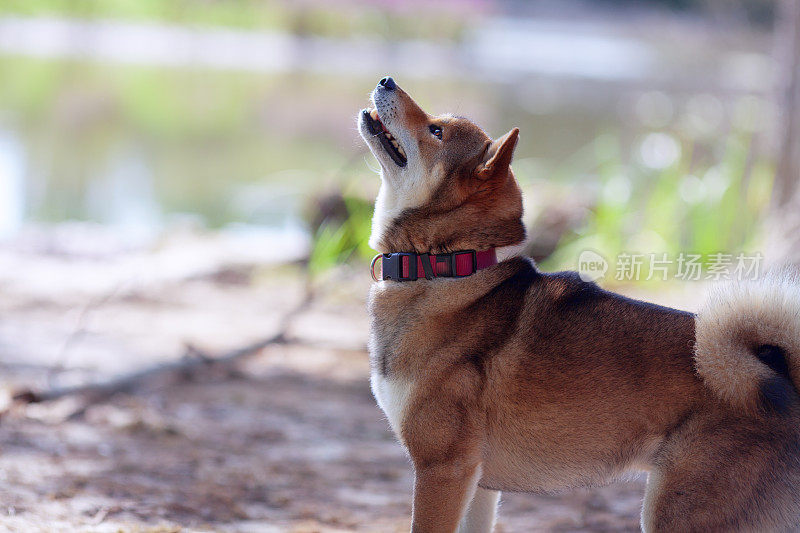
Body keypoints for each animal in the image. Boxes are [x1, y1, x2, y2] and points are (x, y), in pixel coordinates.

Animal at [360, 77, 800, 528]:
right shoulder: (478, 484)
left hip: (678, 514)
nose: (386, 81)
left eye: (436, 131)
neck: (447, 267)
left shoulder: (443, 468)